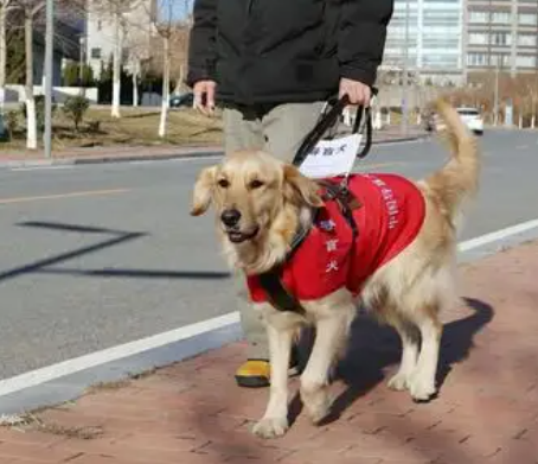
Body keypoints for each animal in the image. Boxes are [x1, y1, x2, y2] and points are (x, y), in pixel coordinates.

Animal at [191, 100, 480, 438]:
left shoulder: (334, 313)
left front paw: (318, 406)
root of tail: (424, 188)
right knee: (410, 333)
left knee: (432, 327)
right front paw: (273, 419)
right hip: (382, 293)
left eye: (257, 183)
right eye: (223, 183)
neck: (284, 245)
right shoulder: (278, 323)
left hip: (408, 286)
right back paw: (406, 375)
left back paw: (422, 382)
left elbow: (310, 377)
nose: (229, 217)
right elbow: (278, 380)